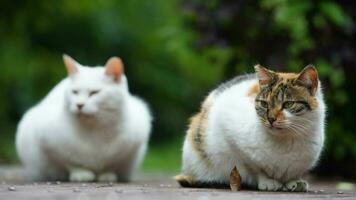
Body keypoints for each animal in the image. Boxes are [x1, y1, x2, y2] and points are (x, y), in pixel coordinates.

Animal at [16, 54, 152, 181]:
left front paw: (107, 175)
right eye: (74, 92)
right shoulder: (49, 144)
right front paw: (81, 174)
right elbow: (69, 162)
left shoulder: (128, 150)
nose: (79, 105)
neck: (94, 131)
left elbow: (112, 164)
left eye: (94, 92)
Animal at [175, 65, 326, 191]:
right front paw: (267, 181)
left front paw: (294, 181)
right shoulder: (231, 136)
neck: (286, 140)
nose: (271, 119)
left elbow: (294, 173)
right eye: (264, 104)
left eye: (288, 104)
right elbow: (254, 167)